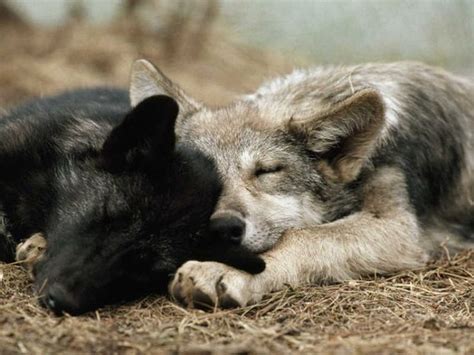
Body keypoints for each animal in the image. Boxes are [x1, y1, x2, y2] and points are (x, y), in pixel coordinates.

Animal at [130, 59, 474, 308]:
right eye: (197, 175)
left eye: (267, 171)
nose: (223, 228)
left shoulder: (398, 225)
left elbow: (302, 237)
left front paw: (222, 270)